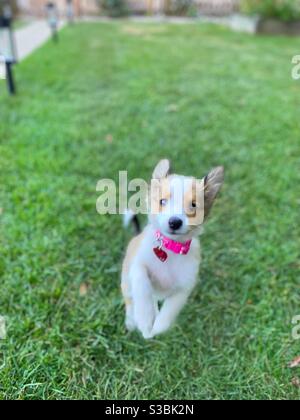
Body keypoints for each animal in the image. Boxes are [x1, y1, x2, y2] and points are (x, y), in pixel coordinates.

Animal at [120, 159, 223, 340]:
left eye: (193, 205)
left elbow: (169, 311)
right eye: (162, 202)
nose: (174, 222)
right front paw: (145, 319)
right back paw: (132, 321)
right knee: (131, 302)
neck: (170, 249)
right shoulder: (138, 266)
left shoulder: (184, 287)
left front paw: (156, 329)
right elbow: (142, 286)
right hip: (126, 282)